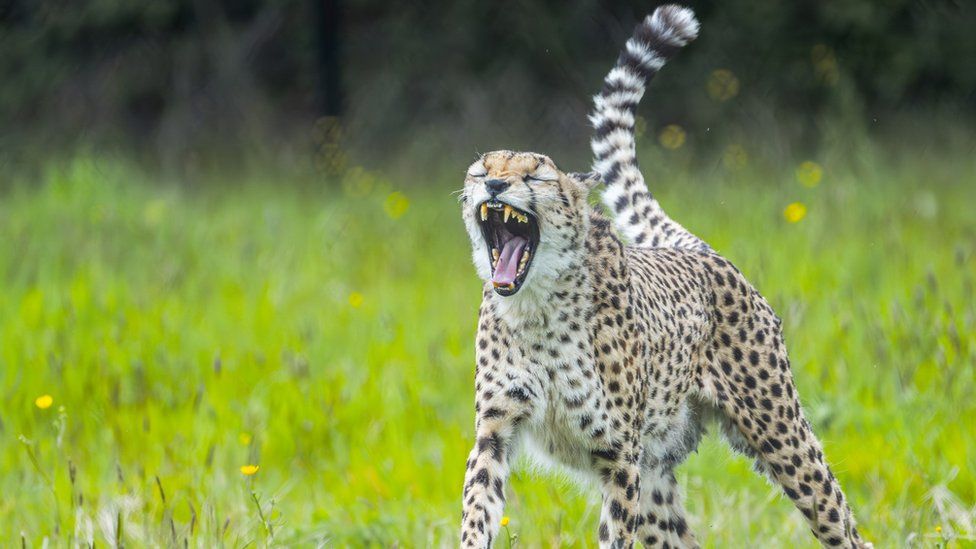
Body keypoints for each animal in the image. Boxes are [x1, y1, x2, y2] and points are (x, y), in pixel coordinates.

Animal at [458, 5, 868, 548]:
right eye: (481, 170)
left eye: (535, 176)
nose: (496, 185)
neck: (536, 306)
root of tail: (699, 252)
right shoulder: (496, 433)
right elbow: (477, 510)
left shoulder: (618, 458)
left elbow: (613, 534)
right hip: (657, 480)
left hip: (778, 432)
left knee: (841, 520)